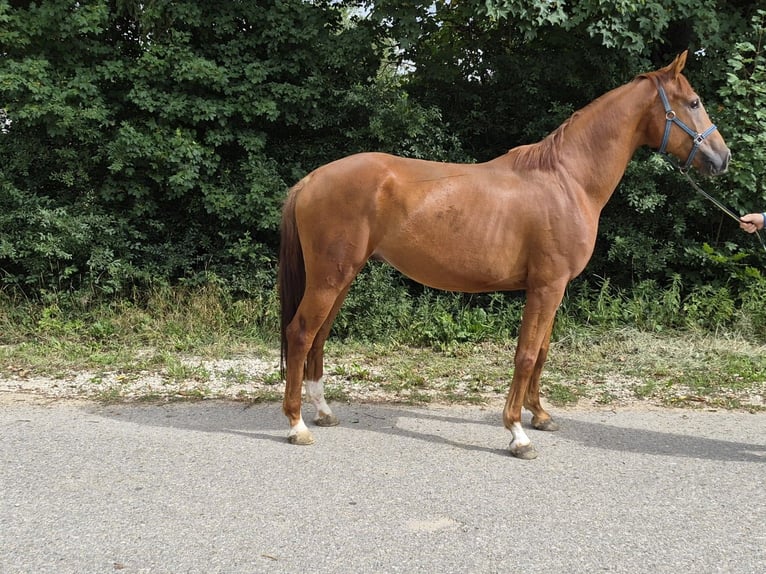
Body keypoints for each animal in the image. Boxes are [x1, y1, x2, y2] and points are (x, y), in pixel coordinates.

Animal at [277, 51, 730, 459]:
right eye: (694, 102)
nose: (722, 158)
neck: (567, 179)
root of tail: (311, 180)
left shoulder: (555, 289)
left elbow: (542, 352)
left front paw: (540, 416)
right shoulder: (546, 287)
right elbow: (526, 355)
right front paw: (517, 433)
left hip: (341, 277)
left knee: (319, 335)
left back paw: (322, 411)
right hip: (330, 277)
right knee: (300, 333)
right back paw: (297, 425)